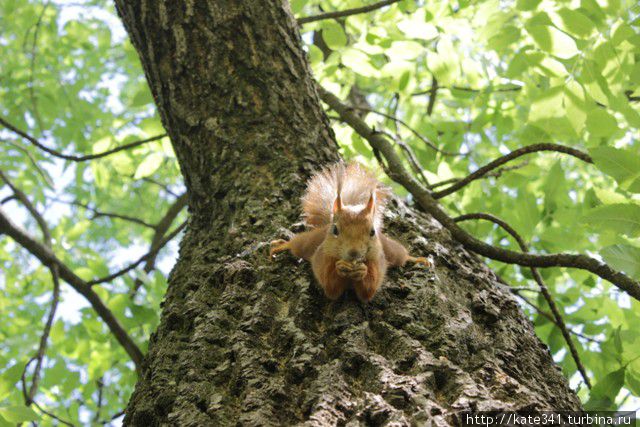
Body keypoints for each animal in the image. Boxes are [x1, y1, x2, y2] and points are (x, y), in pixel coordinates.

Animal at [270, 162, 430, 302]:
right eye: (335, 230)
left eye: (372, 232)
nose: (354, 253)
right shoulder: (323, 257)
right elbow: (331, 287)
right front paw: (340, 268)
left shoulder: (377, 260)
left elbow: (368, 291)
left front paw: (362, 271)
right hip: (311, 242)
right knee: (298, 244)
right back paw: (282, 245)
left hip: (390, 249)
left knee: (400, 255)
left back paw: (416, 259)